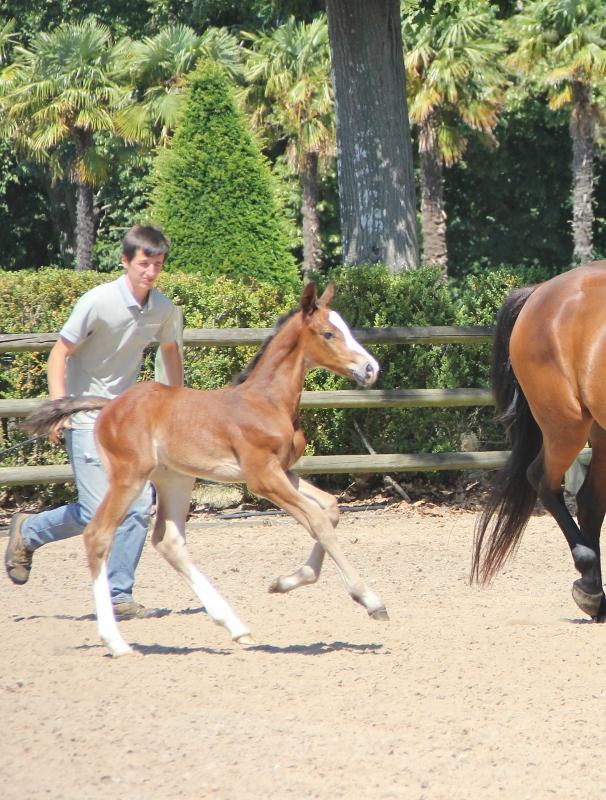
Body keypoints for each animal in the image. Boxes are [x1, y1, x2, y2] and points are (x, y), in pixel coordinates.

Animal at [24, 282, 388, 656]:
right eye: (329, 333)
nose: (371, 368)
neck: (267, 402)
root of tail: (109, 406)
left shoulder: (284, 472)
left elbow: (330, 508)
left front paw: (285, 582)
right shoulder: (262, 477)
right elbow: (317, 520)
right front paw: (370, 600)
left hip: (175, 479)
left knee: (168, 541)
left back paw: (235, 626)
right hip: (129, 477)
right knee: (99, 534)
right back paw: (117, 642)